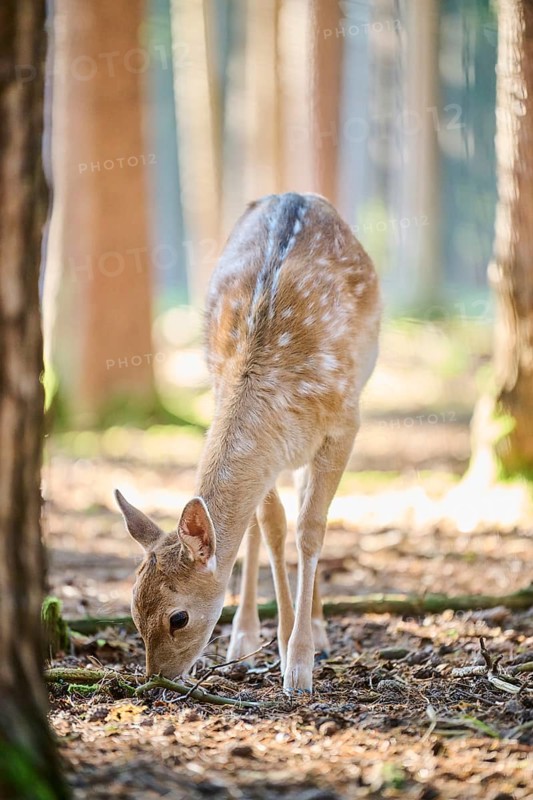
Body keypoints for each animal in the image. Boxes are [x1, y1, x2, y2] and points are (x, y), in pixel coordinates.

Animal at [115, 192, 381, 692]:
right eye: (134, 611)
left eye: (178, 617)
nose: (157, 681)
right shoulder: (266, 449)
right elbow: (274, 527)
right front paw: (281, 642)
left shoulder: (345, 423)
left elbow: (311, 528)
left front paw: (299, 665)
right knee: (263, 522)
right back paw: (245, 635)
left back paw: (317, 627)